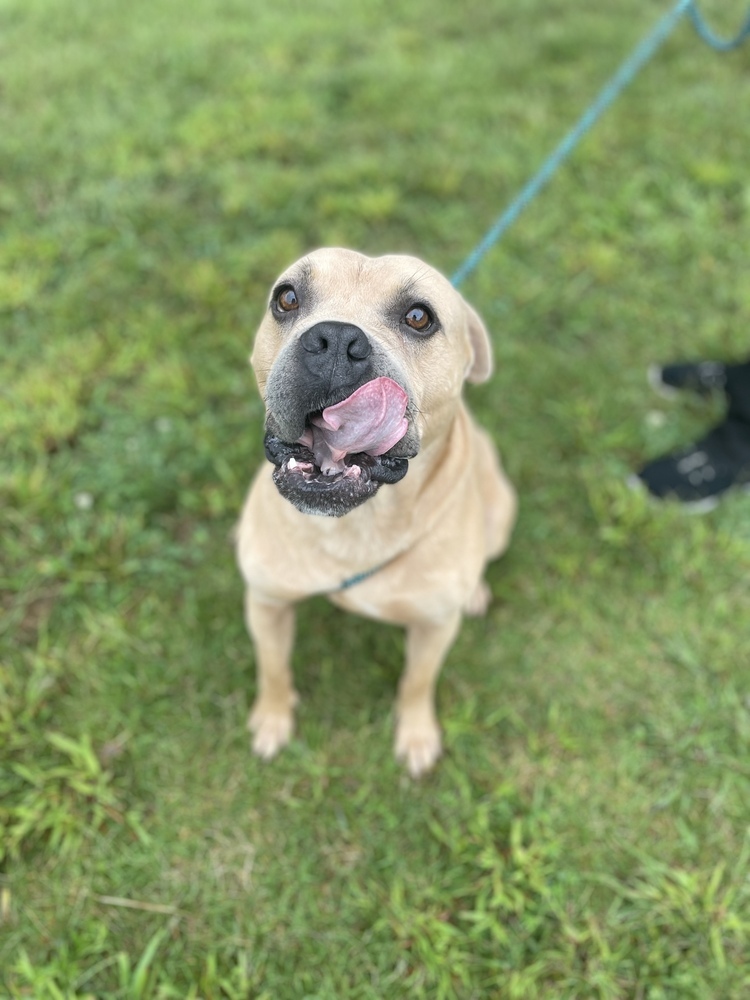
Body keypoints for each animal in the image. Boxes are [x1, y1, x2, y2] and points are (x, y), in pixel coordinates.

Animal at [236, 248, 516, 772]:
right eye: (287, 298)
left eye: (419, 317)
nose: (333, 340)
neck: (358, 527)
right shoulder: (267, 602)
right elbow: (273, 668)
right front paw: (272, 719)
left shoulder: (434, 627)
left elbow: (417, 682)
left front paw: (417, 735)